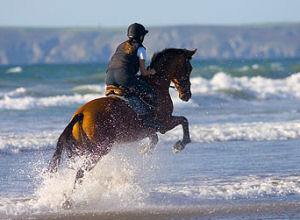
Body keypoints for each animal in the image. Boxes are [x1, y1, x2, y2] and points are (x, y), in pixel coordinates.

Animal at [47, 47, 197, 186]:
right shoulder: (164, 123)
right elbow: (184, 121)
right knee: (80, 172)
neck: (157, 84)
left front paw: (145, 150)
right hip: (100, 149)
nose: (186, 95)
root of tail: (81, 114)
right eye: (189, 69)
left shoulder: (151, 129)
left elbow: (155, 138)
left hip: (87, 149)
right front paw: (179, 146)